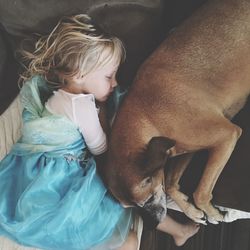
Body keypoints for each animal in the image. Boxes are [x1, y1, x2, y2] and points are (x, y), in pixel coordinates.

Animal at [100, 0, 250, 224]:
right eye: (132, 207)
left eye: (148, 200)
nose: (153, 224)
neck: (146, 117)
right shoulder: (186, 149)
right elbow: (170, 185)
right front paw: (192, 211)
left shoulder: (226, 137)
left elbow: (201, 192)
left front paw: (213, 212)